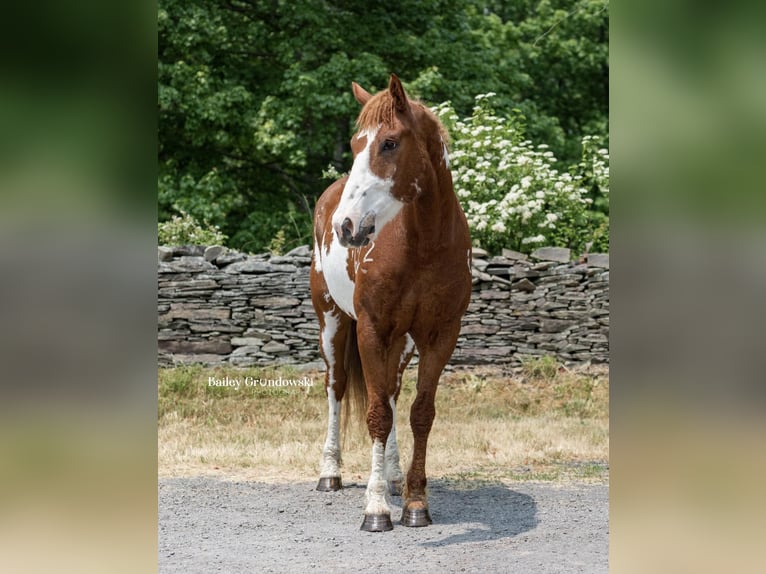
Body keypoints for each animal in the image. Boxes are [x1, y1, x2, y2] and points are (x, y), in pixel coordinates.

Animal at [308, 74, 472, 532]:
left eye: (390, 143)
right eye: (354, 144)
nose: (346, 226)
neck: (423, 245)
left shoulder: (439, 335)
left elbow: (419, 412)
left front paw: (415, 501)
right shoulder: (371, 329)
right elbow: (377, 413)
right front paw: (376, 508)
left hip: (402, 342)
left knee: (395, 394)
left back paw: (396, 476)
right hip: (331, 322)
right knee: (336, 387)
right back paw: (330, 472)